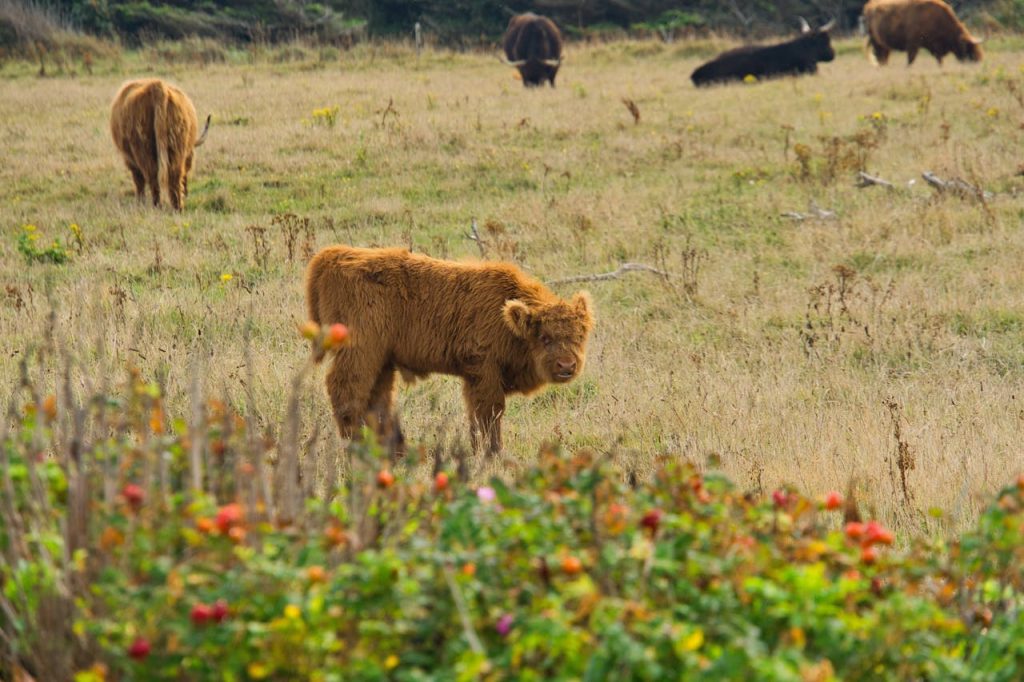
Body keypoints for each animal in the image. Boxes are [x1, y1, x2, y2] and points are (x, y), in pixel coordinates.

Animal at [110, 79, 210, 211]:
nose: (187, 192)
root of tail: (157, 86)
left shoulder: (130, 160)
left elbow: (139, 181)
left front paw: (140, 202)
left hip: (143, 149)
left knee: (152, 177)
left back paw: (157, 205)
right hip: (176, 146)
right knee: (174, 176)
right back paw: (178, 207)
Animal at [305, 246, 594, 457]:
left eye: (579, 335)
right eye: (544, 337)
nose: (567, 366)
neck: (506, 318)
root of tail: (331, 256)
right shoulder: (483, 372)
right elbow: (489, 412)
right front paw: (492, 454)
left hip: (382, 361)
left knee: (377, 400)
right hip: (361, 353)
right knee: (347, 390)